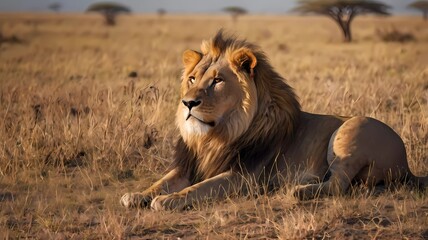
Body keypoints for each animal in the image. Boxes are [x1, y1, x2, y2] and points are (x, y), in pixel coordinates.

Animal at [120, 30, 428, 210]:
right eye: (193, 79)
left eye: (217, 81)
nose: (188, 103)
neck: (216, 136)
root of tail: (406, 164)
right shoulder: (189, 165)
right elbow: (163, 180)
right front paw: (137, 195)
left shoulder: (243, 176)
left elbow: (198, 188)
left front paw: (168, 200)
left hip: (351, 131)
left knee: (339, 184)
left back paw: (299, 191)